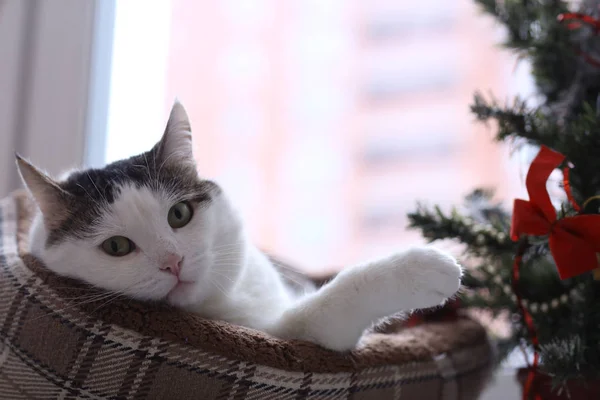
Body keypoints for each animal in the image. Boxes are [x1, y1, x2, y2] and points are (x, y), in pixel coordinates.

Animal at [16, 101, 462, 352]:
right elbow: (336, 296)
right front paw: (427, 268)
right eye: (116, 247)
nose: (172, 262)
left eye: (179, 215)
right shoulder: (289, 331)